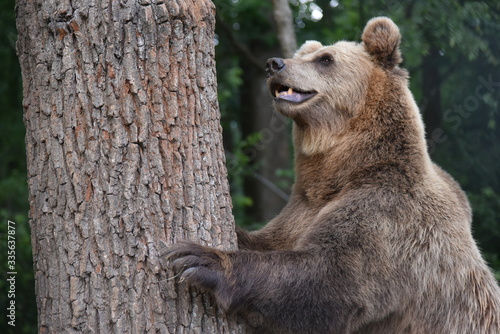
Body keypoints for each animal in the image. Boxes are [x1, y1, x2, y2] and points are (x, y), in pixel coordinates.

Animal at [168, 17, 500, 332]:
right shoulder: (300, 211)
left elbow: (329, 279)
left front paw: (201, 258)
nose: (274, 63)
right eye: (304, 54)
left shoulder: (392, 219)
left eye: (325, 59)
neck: (337, 172)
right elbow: (265, 241)